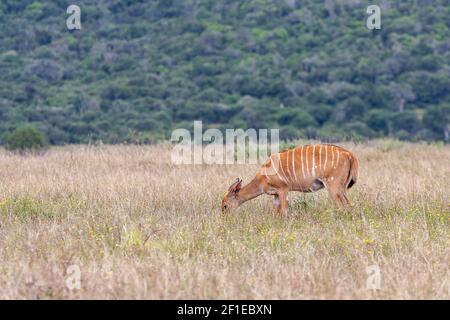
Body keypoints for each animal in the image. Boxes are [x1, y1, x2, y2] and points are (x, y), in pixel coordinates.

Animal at [221, 144, 358, 215]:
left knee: (343, 207)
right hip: (342, 188)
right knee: (349, 205)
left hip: (333, 186)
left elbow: (284, 211)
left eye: (225, 206)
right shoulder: (275, 195)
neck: (262, 178)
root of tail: (349, 155)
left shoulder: (283, 189)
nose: (225, 218)